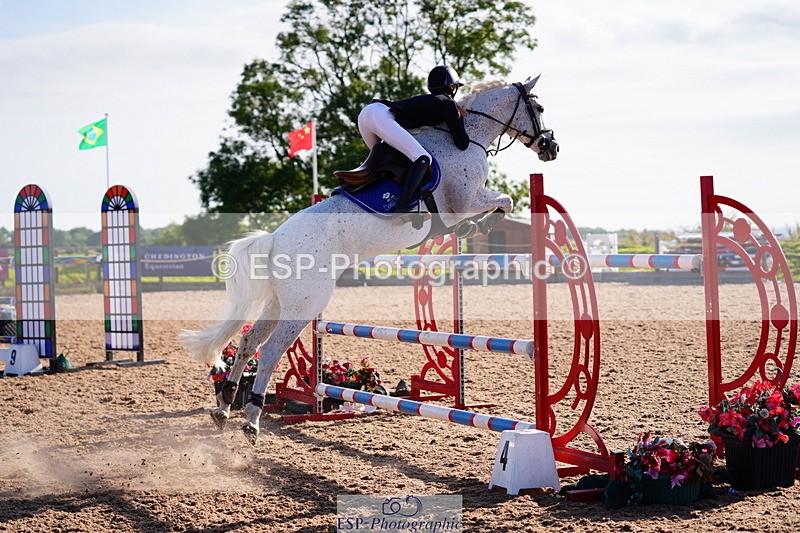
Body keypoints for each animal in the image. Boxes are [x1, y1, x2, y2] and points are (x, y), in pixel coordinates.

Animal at [179, 75, 558, 444]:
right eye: (539, 108)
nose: (551, 148)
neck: (469, 136)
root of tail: (274, 240)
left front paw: (474, 227)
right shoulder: (465, 199)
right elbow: (505, 201)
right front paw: (480, 225)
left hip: (279, 301)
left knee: (248, 343)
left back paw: (225, 406)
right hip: (306, 304)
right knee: (270, 352)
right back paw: (252, 419)